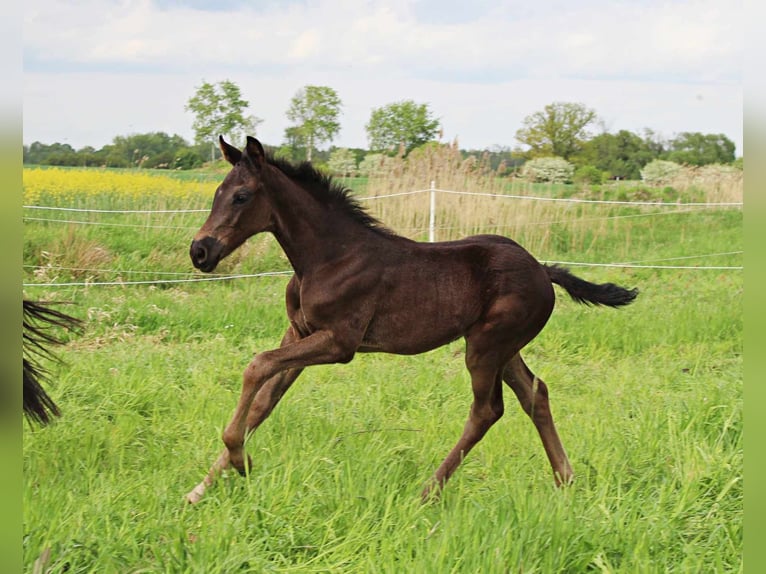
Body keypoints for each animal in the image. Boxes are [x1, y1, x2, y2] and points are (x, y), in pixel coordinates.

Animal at [184, 137, 636, 506]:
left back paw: (428, 491)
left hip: (486, 347)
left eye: (241, 196)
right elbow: (264, 401)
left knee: (487, 410)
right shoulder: (299, 332)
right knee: (535, 395)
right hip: (505, 348)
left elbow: (256, 365)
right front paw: (202, 488)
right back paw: (566, 479)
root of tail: (543, 270)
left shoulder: (339, 343)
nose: (200, 251)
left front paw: (240, 461)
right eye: (217, 192)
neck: (328, 257)